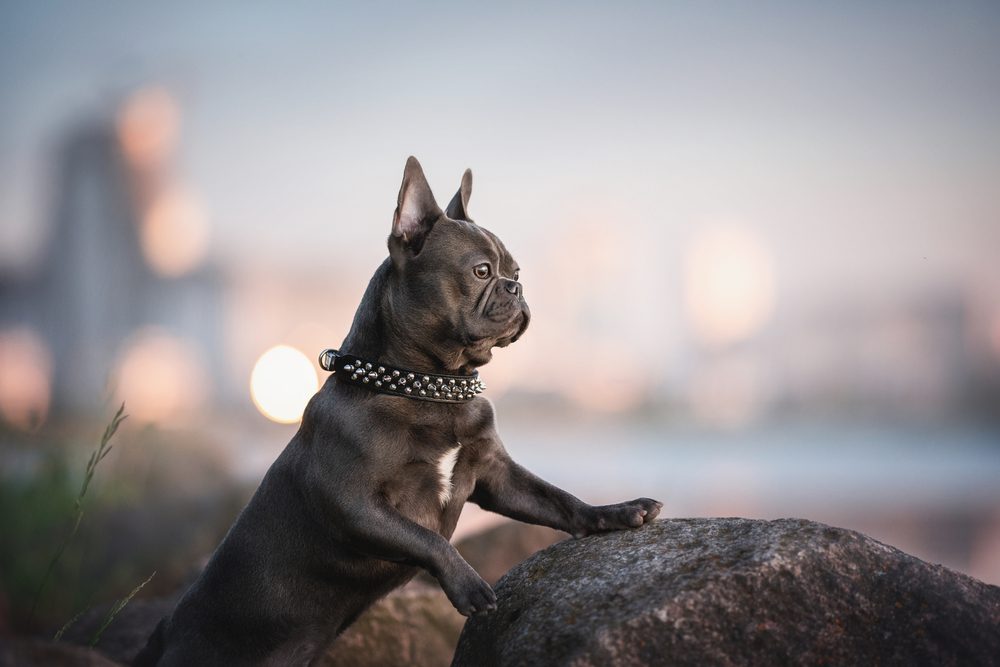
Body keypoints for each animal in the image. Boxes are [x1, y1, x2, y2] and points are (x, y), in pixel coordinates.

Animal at [135, 158, 664, 667]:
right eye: (481, 272)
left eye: (517, 272)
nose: (516, 289)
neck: (433, 388)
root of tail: (162, 634)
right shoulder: (354, 503)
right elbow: (430, 540)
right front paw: (468, 582)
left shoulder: (497, 475)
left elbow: (557, 499)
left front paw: (614, 514)